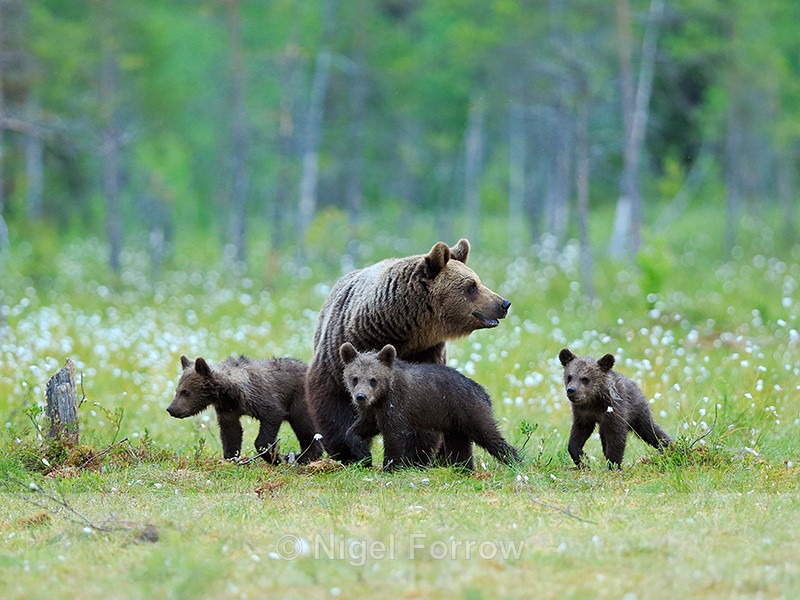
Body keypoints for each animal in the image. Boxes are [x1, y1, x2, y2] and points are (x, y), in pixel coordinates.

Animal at [167, 355, 323, 464]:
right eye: (177, 390)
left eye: (186, 392)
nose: (171, 409)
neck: (229, 393)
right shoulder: (227, 409)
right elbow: (231, 432)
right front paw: (231, 457)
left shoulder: (260, 397)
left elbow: (272, 417)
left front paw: (274, 457)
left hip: (301, 400)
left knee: (305, 426)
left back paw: (303, 457)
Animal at [305, 238, 511, 465]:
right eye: (472, 286)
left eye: (477, 281)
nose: (504, 303)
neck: (400, 330)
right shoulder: (344, 347)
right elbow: (333, 398)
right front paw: (351, 453)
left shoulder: (426, 352)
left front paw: (414, 455)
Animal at [339, 342, 521, 471]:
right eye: (355, 378)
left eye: (373, 380)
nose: (360, 397)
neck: (380, 398)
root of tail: (483, 391)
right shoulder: (372, 412)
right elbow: (356, 430)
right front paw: (364, 455)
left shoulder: (396, 406)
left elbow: (394, 437)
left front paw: (389, 467)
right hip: (454, 424)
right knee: (460, 447)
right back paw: (463, 469)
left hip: (470, 410)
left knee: (489, 435)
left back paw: (516, 461)